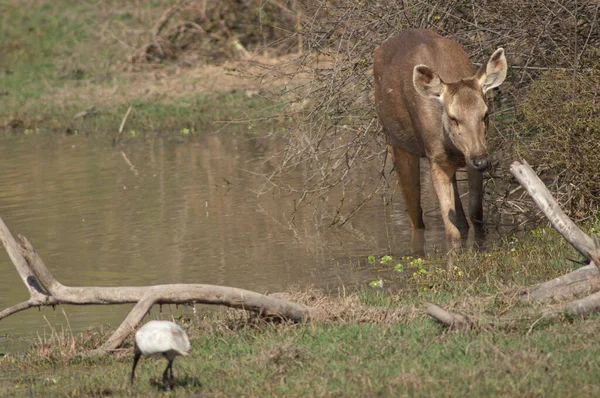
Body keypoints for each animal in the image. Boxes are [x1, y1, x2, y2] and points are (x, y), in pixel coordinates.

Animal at [376, 28, 506, 246]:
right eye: (453, 118)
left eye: (485, 114)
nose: (481, 160)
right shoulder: (435, 158)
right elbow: (451, 233)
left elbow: (476, 215)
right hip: (397, 142)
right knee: (415, 215)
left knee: (461, 218)